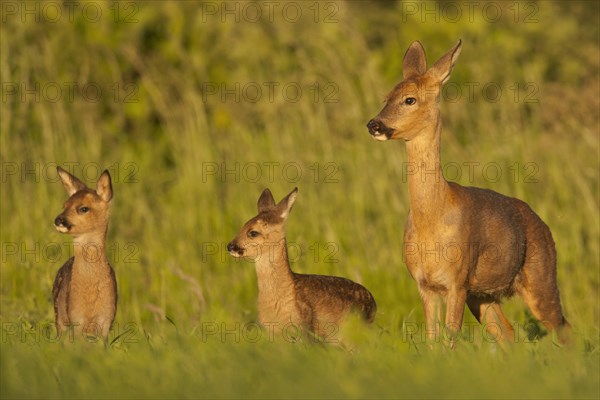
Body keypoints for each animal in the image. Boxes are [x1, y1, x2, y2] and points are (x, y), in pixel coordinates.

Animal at [52, 167, 117, 342]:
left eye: (83, 208)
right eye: (64, 205)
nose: (58, 220)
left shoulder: (107, 319)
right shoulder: (75, 318)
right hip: (59, 315)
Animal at [368, 41, 568, 346]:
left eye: (409, 100)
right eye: (386, 97)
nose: (374, 124)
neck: (433, 220)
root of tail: (544, 224)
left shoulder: (457, 281)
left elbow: (450, 339)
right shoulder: (425, 284)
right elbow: (432, 340)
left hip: (541, 274)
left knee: (563, 327)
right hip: (483, 295)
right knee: (508, 334)